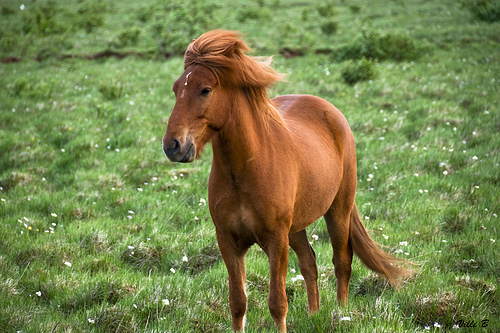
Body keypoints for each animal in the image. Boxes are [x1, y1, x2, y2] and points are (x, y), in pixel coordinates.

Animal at [164, 29, 410, 330]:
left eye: (205, 89)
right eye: (176, 89)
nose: (172, 145)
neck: (244, 172)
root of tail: (330, 111)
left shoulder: (276, 240)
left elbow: (277, 303)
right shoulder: (228, 242)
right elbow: (237, 301)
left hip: (337, 211)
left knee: (342, 261)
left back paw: (341, 314)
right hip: (296, 228)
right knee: (309, 263)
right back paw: (314, 315)